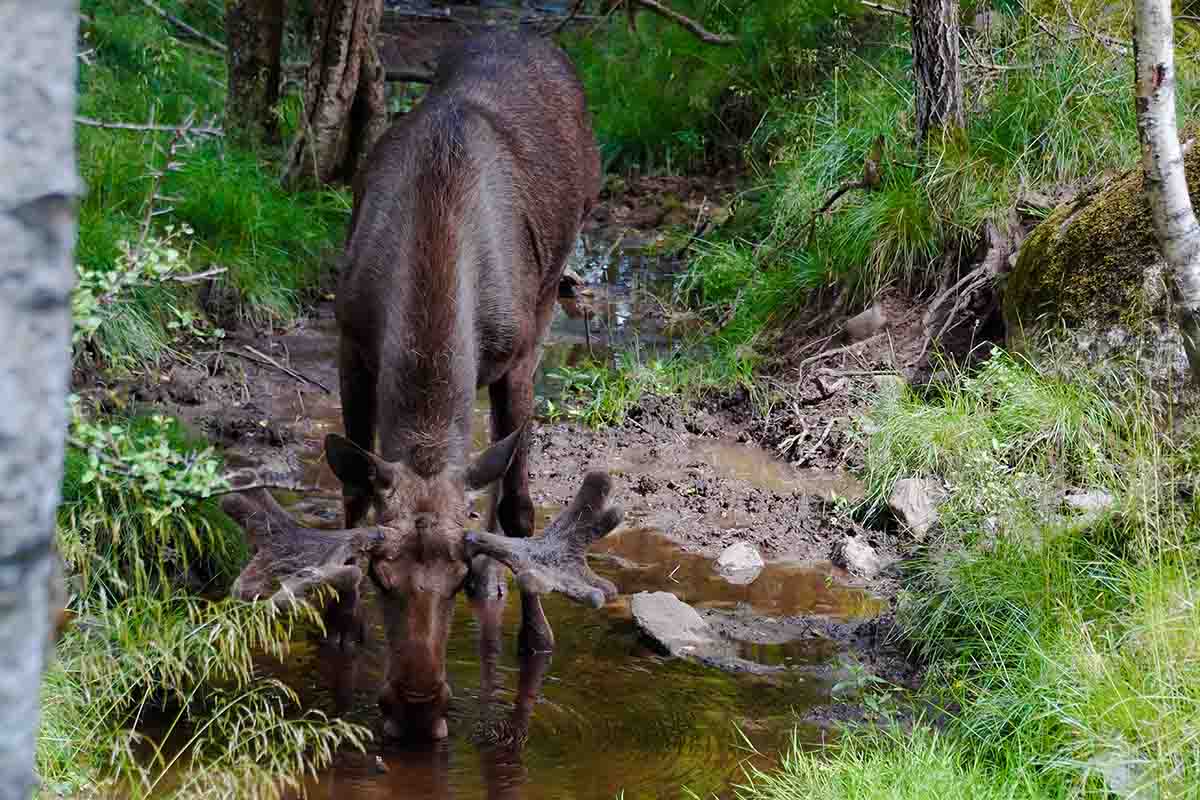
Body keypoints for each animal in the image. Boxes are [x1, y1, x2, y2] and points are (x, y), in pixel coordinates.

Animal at [219, 32, 624, 743]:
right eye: (381, 578)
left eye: (454, 580)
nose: (415, 708)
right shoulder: (352, 342)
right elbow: (354, 494)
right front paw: (342, 624)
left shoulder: (519, 354)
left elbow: (520, 504)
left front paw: (536, 635)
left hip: (551, 292)